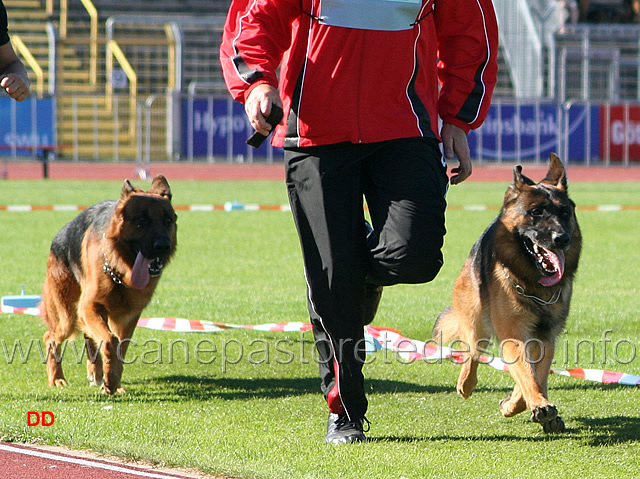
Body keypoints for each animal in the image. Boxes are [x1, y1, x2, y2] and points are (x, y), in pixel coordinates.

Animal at [41, 176, 176, 394]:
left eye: (168, 221)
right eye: (142, 221)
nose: (163, 246)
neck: (120, 272)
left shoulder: (127, 318)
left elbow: (120, 347)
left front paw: (113, 381)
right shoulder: (89, 307)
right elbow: (111, 341)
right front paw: (110, 380)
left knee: (90, 340)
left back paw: (96, 374)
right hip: (68, 316)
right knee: (50, 337)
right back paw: (57, 378)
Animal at [436, 155, 580, 436]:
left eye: (565, 214)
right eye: (536, 212)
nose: (562, 238)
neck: (533, 284)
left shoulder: (545, 338)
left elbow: (536, 376)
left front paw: (520, 403)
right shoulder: (514, 335)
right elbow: (526, 373)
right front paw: (537, 404)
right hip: (476, 321)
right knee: (472, 351)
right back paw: (466, 383)